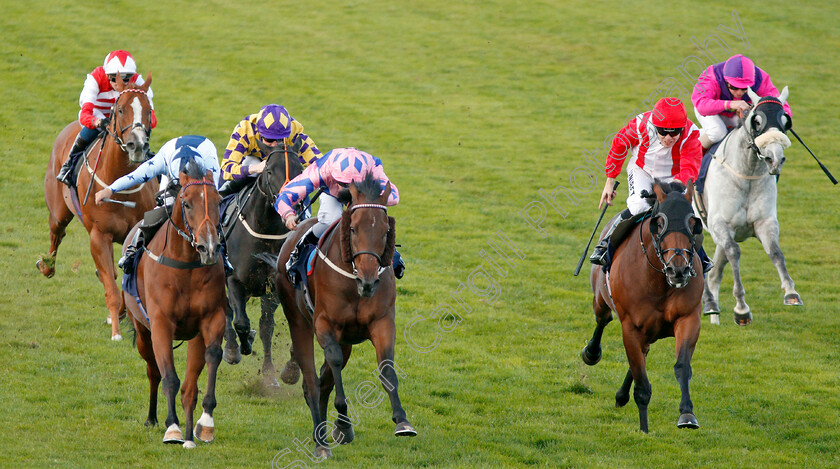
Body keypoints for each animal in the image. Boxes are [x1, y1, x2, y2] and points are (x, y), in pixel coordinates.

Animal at [37, 75, 157, 342]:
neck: (118, 183)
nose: (137, 146)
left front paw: (121, 315)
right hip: (59, 211)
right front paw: (116, 332)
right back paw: (47, 266)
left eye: (148, 110)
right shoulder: (99, 236)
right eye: (120, 109)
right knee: (56, 233)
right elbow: (111, 287)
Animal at [276, 172, 416, 458]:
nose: (368, 280)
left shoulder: (382, 322)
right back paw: (321, 443)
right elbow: (334, 366)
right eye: (353, 228)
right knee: (311, 381)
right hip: (299, 321)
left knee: (323, 380)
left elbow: (386, 368)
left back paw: (326, 432)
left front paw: (402, 420)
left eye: (385, 231)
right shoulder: (324, 324)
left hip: (346, 340)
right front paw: (343, 421)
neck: (354, 284)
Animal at [584, 178, 704, 432]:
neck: (658, 281)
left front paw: (687, 414)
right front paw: (644, 430)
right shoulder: (631, 327)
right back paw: (591, 352)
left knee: (643, 351)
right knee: (602, 320)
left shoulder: (688, 318)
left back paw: (621, 396)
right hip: (601, 298)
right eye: (659, 223)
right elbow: (641, 383)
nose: (678, 270)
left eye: (693, 223)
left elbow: (682, 366)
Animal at [692, 85, 804, 326]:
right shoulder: (720, 224)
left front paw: (791, 294)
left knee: (714, 274)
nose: (774, 159)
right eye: (757, 120)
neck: (747, 174)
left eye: (785, 120)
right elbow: (734, 252)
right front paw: (742, 309)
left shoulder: (765, 222)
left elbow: (776, 252)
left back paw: (713, 313)